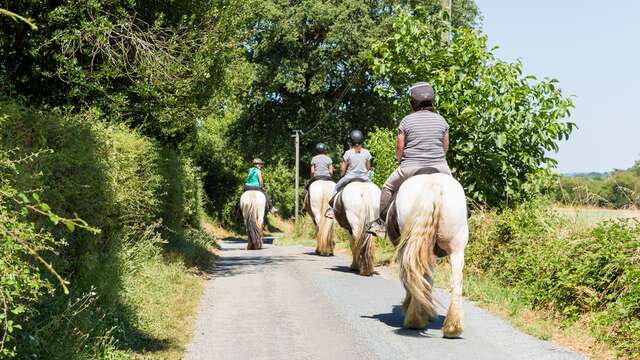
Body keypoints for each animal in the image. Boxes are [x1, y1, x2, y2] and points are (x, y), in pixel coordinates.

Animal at [384, 173, 470, 338]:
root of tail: (434, 184)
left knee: (413, 274)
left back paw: (414, 320)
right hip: (457, 248)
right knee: (456, 282)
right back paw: (453, 327)